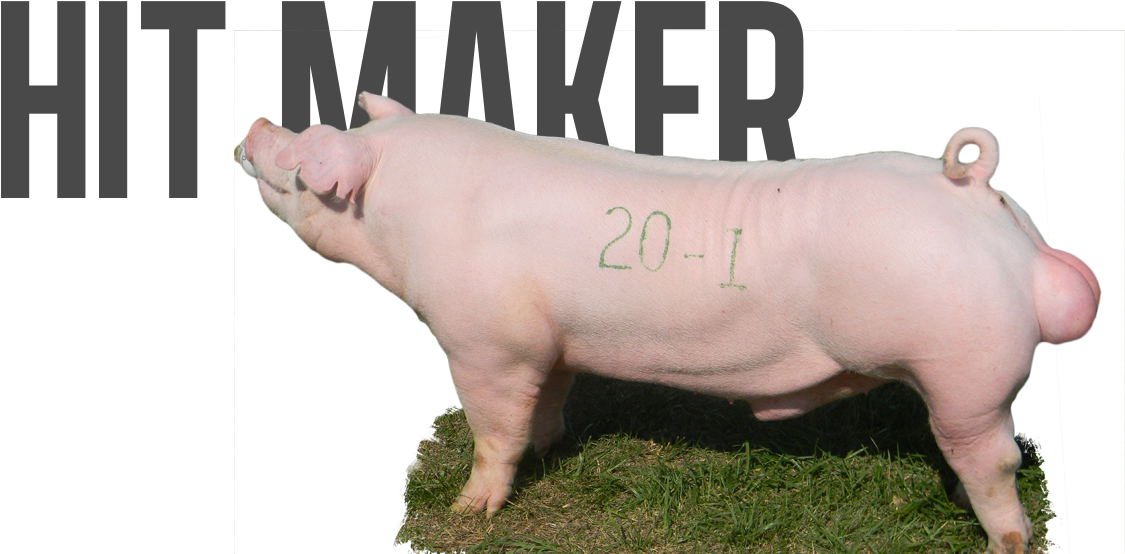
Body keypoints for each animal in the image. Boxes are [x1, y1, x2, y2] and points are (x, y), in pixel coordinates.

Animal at [235, 92, 1099, 554]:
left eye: (310, 159)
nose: (255, 123)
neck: (403, 225)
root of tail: (973, 191)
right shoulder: (550, 346)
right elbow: (545, 407)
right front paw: (549, 450)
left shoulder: (486, 342)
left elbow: (492, 428)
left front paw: (464, 512)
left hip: (966, 375)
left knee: (994, 460)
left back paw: (1003, 540)